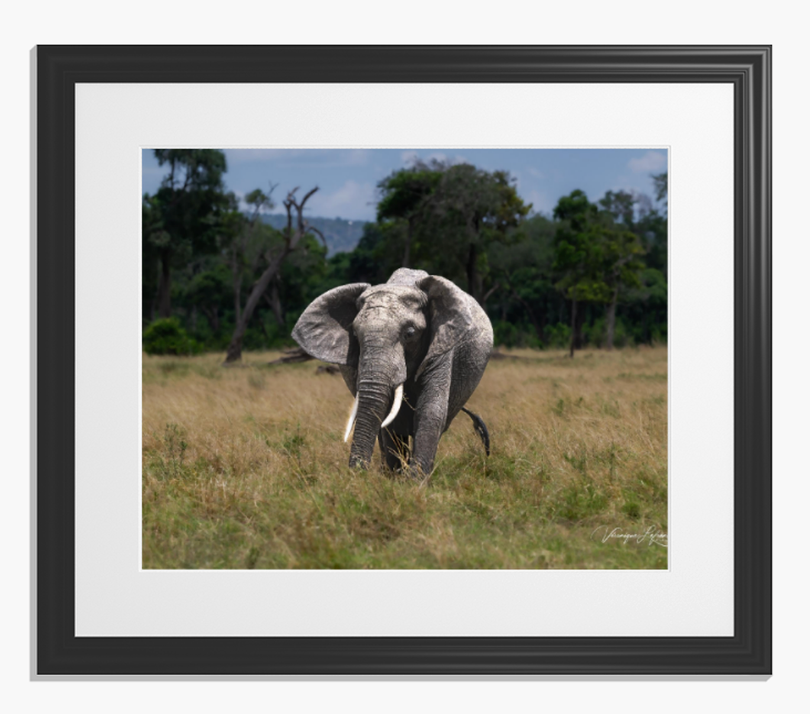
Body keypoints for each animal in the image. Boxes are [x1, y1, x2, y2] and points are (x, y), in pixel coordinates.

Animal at [292, 268, 493, 477]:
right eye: (354, 335)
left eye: (410, 334)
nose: (358, 474)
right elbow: (388, 419)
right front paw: (396, 479)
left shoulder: (442, 346)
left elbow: (431, 410)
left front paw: (415, 481)